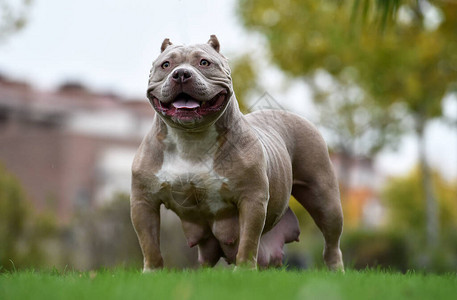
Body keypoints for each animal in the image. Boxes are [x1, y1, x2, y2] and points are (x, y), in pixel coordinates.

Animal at [130, 35, 344, 272]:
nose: (181, 74)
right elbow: (149, 243)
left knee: (331, 240)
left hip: (324, 198)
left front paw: (243, 271)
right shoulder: (143, 201)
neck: (191, 139)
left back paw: (336, 269)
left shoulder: (252, 199)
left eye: (204, 62)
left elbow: (248, 240)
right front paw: (152, 272)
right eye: (166, 65)